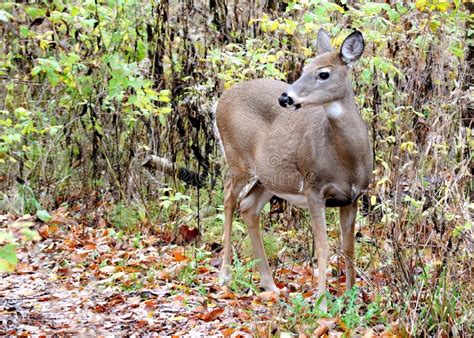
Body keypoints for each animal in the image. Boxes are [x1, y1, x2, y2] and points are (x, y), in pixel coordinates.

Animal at [215, 29, 374, 308]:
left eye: (323, 73)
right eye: (303, 68)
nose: (285, 98)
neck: (346, 160)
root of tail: (219, 101)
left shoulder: (353, 197)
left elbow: (349, 247)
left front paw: (352, 298)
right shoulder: (314, 188)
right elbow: (323, 246)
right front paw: (322, 304)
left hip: (270, 177)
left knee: (248, 206)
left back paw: (271, 285)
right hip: (237, 160)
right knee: (228, 200)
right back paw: (225, 275)